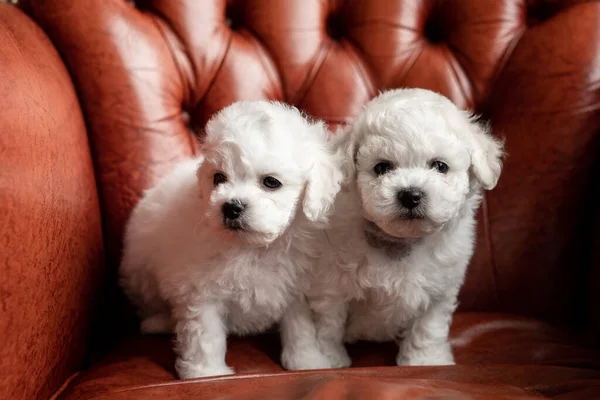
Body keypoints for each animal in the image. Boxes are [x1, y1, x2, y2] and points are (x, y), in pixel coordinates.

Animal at [119, 100, 342, 378]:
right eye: (218, 178)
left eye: (271, 182)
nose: (231, 207)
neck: (253, 247)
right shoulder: (200, 290)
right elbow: (205, 335)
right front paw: (206, 373)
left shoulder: (296, 286)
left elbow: (300, 326)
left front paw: (307, 361)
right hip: (140, 265)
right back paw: (158, 322)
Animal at [284, 89, 504, 370]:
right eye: (382, 167)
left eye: (440, 166)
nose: (410, 195)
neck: (399, 240)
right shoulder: (333, 285)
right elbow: (329, 324)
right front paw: (331, 359)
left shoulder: (439, 287)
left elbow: (428, 327)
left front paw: (426, 360)